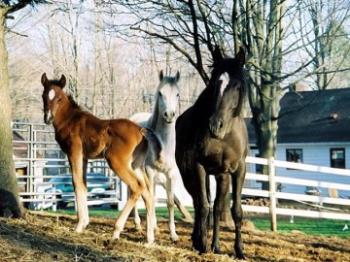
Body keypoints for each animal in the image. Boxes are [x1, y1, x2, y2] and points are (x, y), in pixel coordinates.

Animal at [41, 72, 160, 243]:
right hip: (136, 164)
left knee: (137, 187)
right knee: (147, 190)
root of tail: (141, 131)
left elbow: (76, 183)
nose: (48, 118)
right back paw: (149, 238)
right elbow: (83, 184)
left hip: (116, 162)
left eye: (59, 98)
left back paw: (117, 230)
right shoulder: (84, 158)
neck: (70, 119)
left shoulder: (74, 153)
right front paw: (84, 222)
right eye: (44, 96)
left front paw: (80, 225)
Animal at [131, 69, 193, 242]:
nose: (169, 115)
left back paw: (154, 226)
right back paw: (138, 224)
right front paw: (150, 235)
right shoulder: (150, 172)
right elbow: (151, 200)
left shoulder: (170, 175)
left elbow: (170, 202)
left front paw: (173, 235)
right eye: (160, 93)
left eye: (177, 94)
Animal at [175, 46, 249, 258]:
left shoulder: (238, 170)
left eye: (237, 86)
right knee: (199, 203)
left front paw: (239, 251)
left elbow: (235, 210)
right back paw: (199, 240)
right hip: (188, 175)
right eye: (216, 83)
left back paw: (215, 245)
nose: (215, 125)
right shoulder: (198, 167)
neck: (225, 137)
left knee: (216, 207)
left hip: (220, 176)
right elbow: (203, 206)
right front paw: (202, 245)